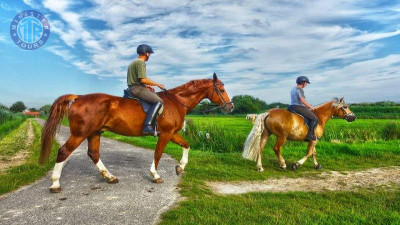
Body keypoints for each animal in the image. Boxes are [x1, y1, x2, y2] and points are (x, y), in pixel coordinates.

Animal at [39, 73, 234, 192]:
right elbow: (158, 153)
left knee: (93, 154)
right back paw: (55, 183)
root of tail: (79, 97)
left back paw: (110, 177)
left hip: (95, 133)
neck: (176, 102)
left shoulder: (172, 133)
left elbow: (186, 145)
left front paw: (180, 167)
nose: (230, 107)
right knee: (63, 152)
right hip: (80, 134)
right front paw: (155, 175)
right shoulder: (165, 134)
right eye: (221, 89)